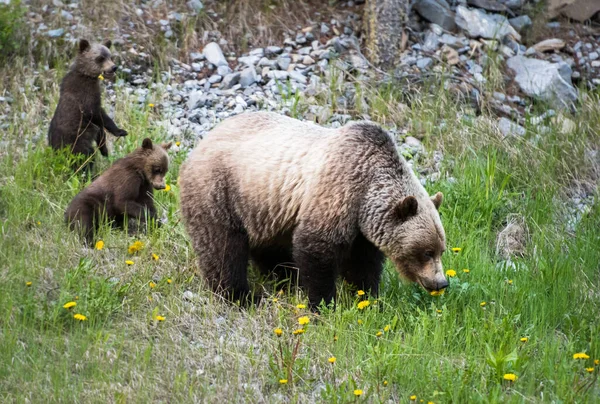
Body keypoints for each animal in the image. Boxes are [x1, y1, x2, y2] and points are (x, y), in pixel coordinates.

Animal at [49, 39, 127, 169]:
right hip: (76, 144)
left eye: (110, 56)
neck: (87, 76)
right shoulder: (86, 97)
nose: (114, 67)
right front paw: (118, 132)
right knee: (86, 158)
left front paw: (105, 148)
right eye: (100, 58)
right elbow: (98, 117)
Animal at [180, 112, 448, 308]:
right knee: (223, 247)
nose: (441, 282)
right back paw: (241, 296)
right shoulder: (337, 192)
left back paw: (284, 279)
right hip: (221, 191)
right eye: (426, 251)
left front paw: (367, 297)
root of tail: (201, 143)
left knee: (269, 249)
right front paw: (323, 303)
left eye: (441, 250)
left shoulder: (362, 226)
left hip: (265, 209)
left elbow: (363, 263)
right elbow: (318, 249)